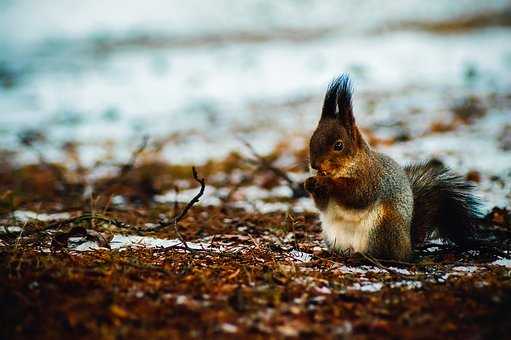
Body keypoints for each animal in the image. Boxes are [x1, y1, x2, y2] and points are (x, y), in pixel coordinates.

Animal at [304, 75, 484, 260]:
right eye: (312, 138)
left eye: (339, 145)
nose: (315, 165)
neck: (343, 169)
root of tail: (407, 245)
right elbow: (322, 205)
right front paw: (309, 183)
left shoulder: (371, 178)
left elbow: (357, 194)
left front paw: (327, 183)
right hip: (332, 235)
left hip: (383, 225)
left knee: (384, 253)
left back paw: (364, 256)